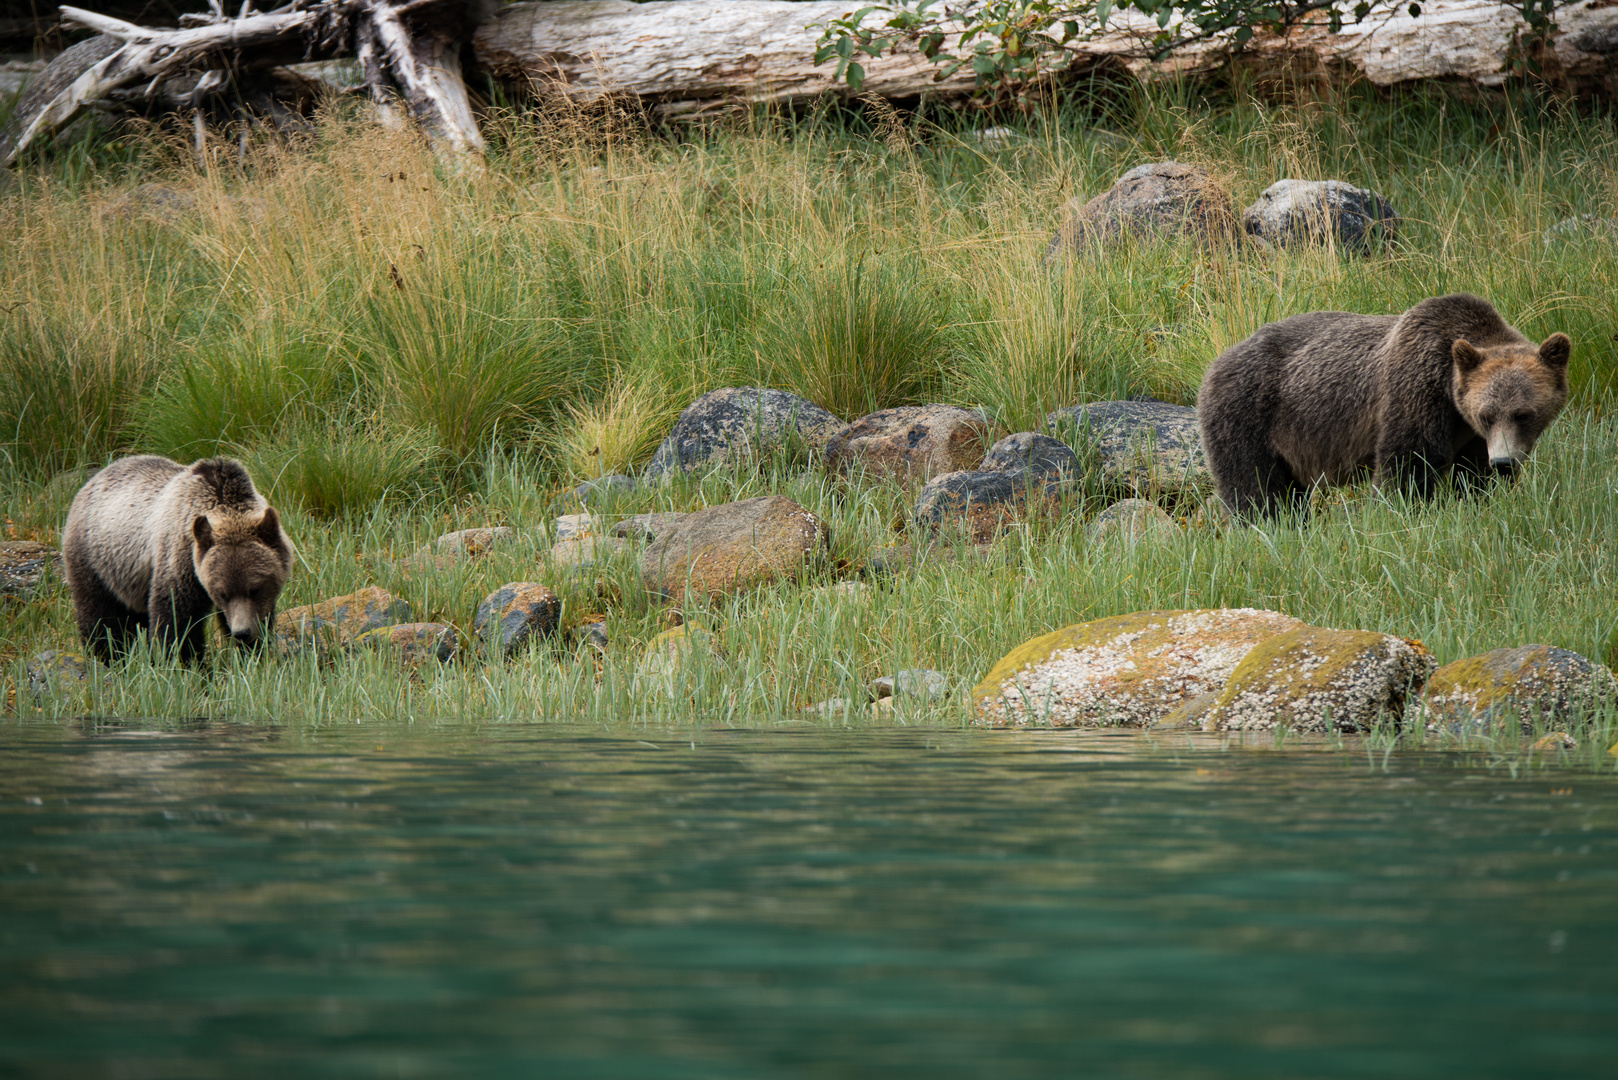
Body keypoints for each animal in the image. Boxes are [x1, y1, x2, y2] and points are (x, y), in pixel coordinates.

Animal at [63, 453, 297, 663]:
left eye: (255, 589)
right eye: (222, 593)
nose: (242, 633)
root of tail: (92, 480)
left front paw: (253, 655)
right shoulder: (180, 561)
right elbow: (177, 623)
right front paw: (187, 666)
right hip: (96, 560)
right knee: (101, 617)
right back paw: (107, 657)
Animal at [1203, 291, 1566, 518]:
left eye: (1523, 414)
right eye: (1487, 415)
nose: (1504, 462)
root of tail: (1216, 362)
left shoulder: (1472, 435)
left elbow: (1473, 474)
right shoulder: (1416, 389)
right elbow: (1409, 460)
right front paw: (1401, 512)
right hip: (1249, 414)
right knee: (1256, 487)